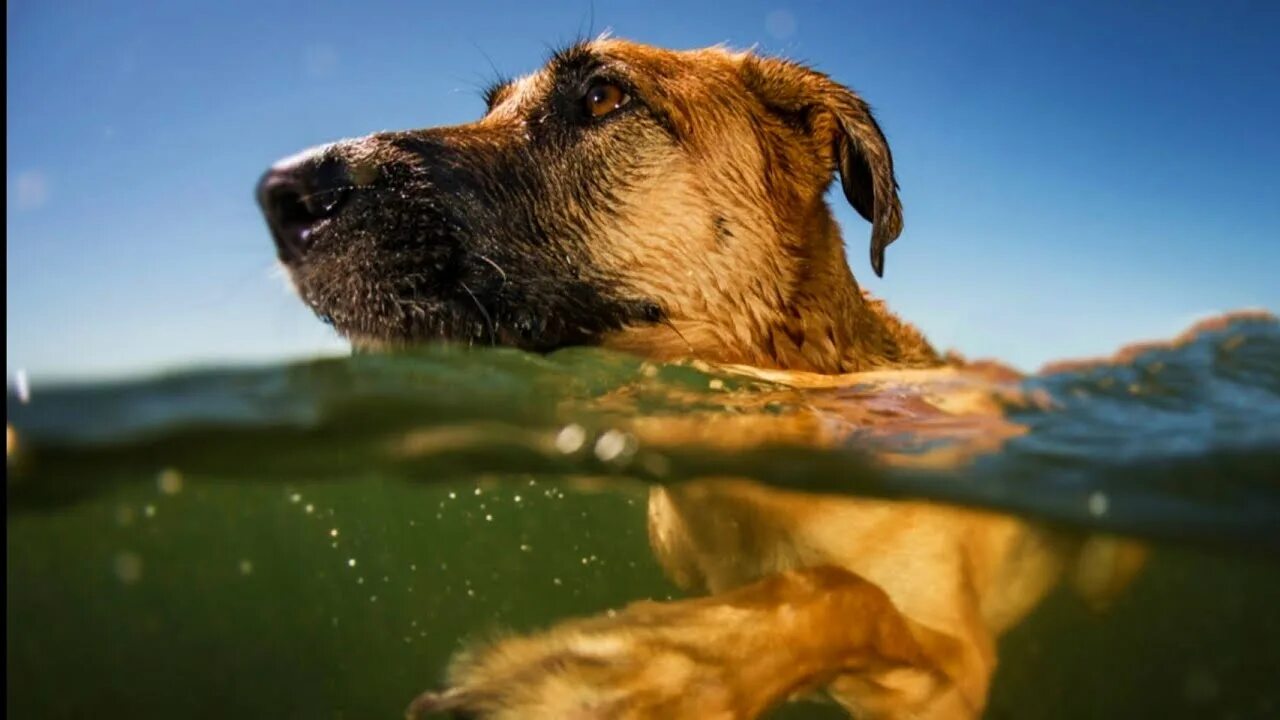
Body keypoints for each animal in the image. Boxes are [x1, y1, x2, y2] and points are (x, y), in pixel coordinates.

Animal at [254, 36, 1146, 712]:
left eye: (602, 97)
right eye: (491, 107)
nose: (281, 193)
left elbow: (846, 594)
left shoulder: (953, 674)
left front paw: (619, 674)